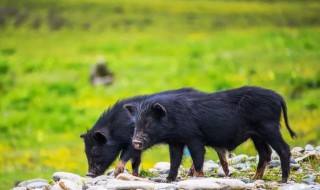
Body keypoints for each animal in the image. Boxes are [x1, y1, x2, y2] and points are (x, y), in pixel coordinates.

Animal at [126, 86, 296, 183]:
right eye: (136, 123)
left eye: (150, 122)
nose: (136, 142)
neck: (174, 117)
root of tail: (278, 97)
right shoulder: (176, 142)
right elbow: (174, 160)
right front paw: (167, 180)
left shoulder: (194, 137)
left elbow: (198, 157)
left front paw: (197, 178)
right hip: (257, 135)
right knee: (265, 153)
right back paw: (254, 178)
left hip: (269, 127)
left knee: (284, 148)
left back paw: (282, 180)